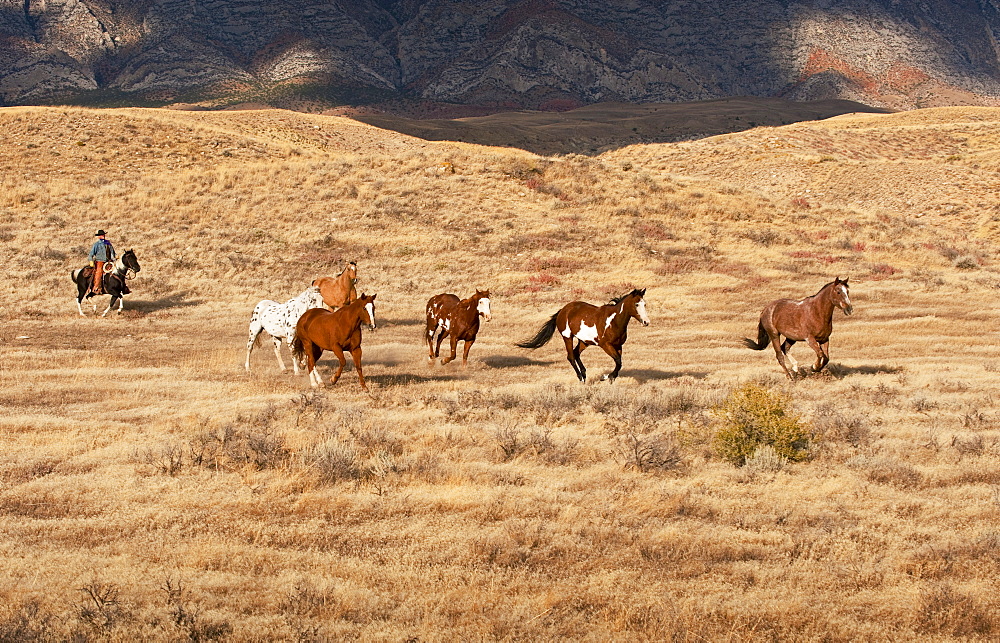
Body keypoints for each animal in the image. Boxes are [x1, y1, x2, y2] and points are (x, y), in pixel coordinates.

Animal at [516, 288, 648, 382]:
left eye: (644, 304)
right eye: (636, 304)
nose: (646, 322)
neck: (613, 321)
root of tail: (563, 310)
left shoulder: (618, 345)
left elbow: (619, 363)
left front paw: (610, 377)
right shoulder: (606, 345)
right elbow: (618, 361)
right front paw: (605, 377)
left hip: (584, 341)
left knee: (575, 353)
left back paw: (584, 374)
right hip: (568, 337)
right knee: (571, 356)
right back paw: (581, 377)